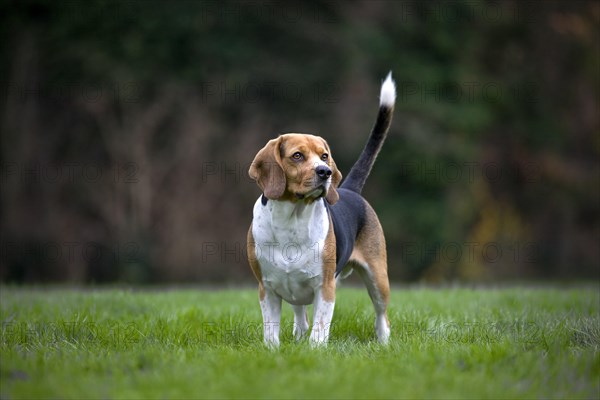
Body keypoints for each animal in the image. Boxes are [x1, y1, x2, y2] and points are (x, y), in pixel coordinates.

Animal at [246, 72, 396, 346]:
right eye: (297, 156)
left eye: (324, 156)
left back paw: (383, 342)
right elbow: (271, 330)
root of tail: (349, 190)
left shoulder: (325, 287)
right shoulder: (267, 288)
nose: (325, 172)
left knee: (382, 316)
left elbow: (319, 328)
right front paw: (273, 350)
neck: (292, 220)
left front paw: (315, 349)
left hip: (378, 278)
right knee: (300, 315)